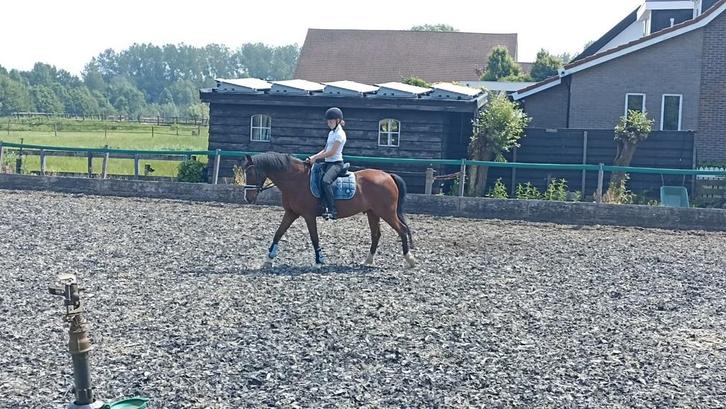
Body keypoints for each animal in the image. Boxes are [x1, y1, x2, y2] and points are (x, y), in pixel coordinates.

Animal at [241, 152, 416, 269]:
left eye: (251, 173)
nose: (248, 198)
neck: (296, 179)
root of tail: (388, 175)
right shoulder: (291, 213)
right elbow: (278, 233)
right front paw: (268, 259)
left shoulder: (308, 215)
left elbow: (314, 238)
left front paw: (319, 261)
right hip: (373, 213)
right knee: (376, 234)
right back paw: (368, 261)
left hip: (387, 212)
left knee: (402, 230)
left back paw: (410, 260)